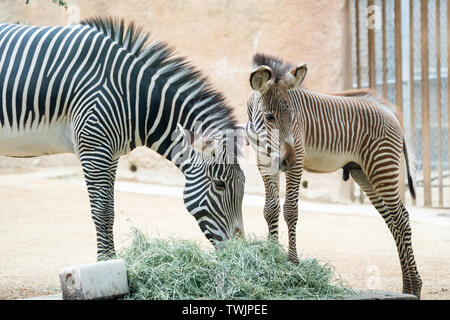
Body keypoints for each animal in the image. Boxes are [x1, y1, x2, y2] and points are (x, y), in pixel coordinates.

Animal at [0, 18, 244, 260]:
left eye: (243, 184)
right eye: (220, 184)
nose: (238, 248)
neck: (133, 96)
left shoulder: (110, 153)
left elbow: (110, 208)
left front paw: (113, 258)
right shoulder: (93, 147)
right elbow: (102, 210)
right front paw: (104, 260)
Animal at [246, 53, 422, 298]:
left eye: (293, 116)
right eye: (269, 117)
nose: (286, 161)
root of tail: (390, 113)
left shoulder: (297, 159)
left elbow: (290, 210)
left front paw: (292, 263)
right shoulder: (263, 162)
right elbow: (270, 210)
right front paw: (271, 258)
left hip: (382, 167)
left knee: (402, 219)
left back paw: (415, 287)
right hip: (363, 173)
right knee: (393, 220)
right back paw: (407, 288)